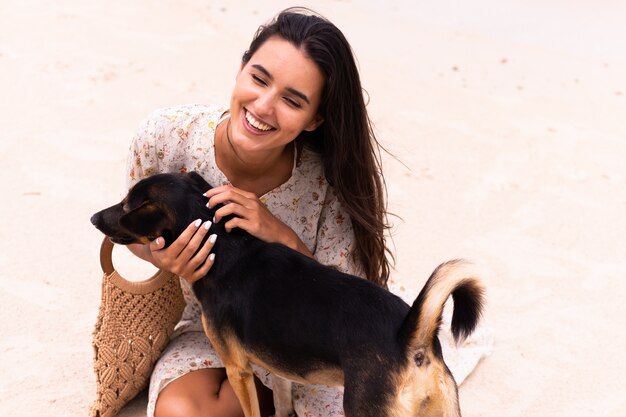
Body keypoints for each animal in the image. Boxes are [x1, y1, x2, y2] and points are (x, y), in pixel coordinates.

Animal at [91, 171, 482, 414]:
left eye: (127, 205)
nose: (94, 218)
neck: (226, 248)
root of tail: (412, 336)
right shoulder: (277, 368)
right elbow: (281, 402)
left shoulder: (238, 370)